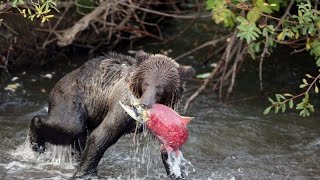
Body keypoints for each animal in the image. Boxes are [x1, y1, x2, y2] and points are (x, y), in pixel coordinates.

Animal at [28, 50, 195, 179]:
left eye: (161, 88)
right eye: (146, 83)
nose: (144, 104)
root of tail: (64, 77)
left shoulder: (164, 121)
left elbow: (169, 148)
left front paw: (177, 173)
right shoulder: (122, 108)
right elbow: (102, 135)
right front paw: (85, 173)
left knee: (78, 138)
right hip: (72, 99)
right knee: (70, 126)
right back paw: (36, 145)